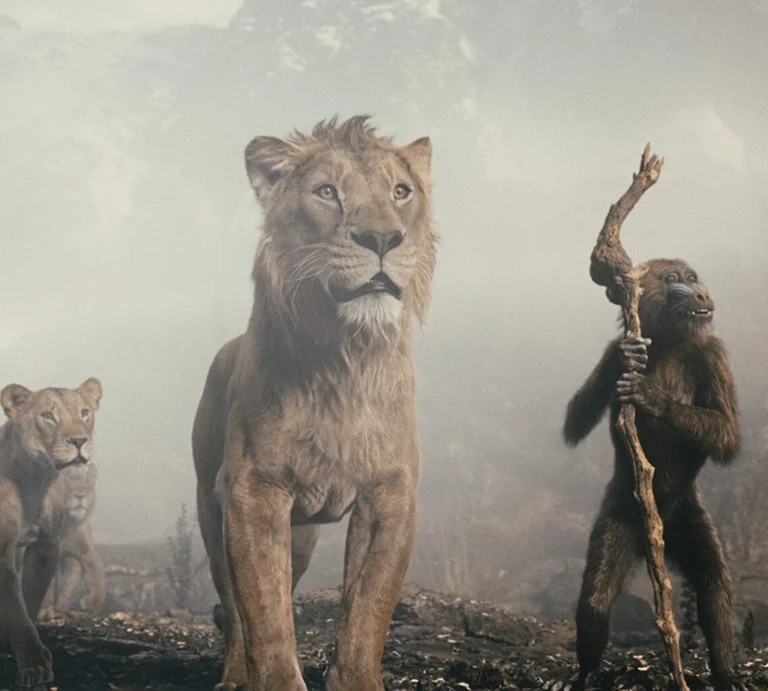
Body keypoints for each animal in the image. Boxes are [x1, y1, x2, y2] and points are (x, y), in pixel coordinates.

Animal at [39, 462, 105, 617]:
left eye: (87, 482)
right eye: (69, 480)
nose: (80, 495)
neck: (66, 524)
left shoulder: (85, 552)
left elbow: (95, 576)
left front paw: (92, 604)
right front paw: (45, 608)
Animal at [193, 115, 436, 691]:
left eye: (401, 192)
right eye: (327, 192)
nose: (382, 237)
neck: (346, 358)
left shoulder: (390, 495)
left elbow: (368, 609)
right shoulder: (253, 493)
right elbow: (265, 614)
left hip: (300, 535)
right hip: (212, 510)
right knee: (233, 607)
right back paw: (234, 675)